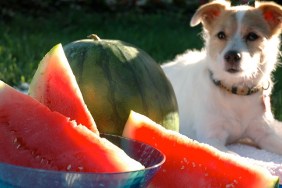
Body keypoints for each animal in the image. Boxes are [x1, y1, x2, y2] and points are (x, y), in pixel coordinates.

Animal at [161, 0, 282, 154]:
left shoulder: (265, 133)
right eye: (221, 35)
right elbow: (236, 156)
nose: (231, 56)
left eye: (252, 36)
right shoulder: (211, 138)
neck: (237, 93)